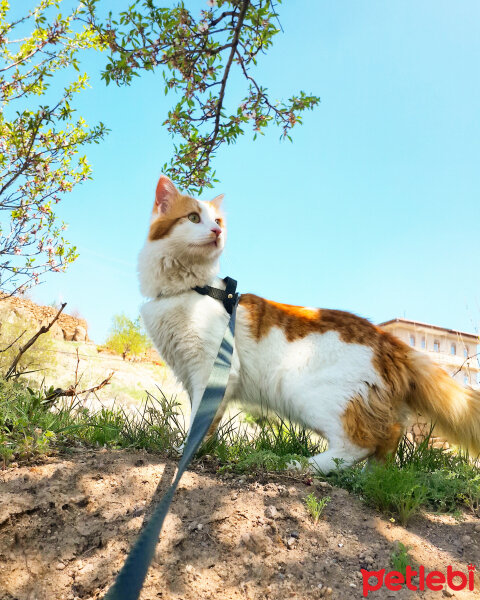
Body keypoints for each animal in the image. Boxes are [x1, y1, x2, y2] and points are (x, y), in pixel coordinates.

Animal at [139, 173, 480, 474]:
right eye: (194, 218)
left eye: (217, 222)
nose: (216, 232)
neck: (191, 287)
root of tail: (389, 340)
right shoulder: (195, 375)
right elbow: (205, 422)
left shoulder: (211, 369)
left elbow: (200, 421)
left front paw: (184, 451)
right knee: (389, 439)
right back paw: (371, 478)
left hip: (309, 392)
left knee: (361, 443)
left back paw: (303, 465)